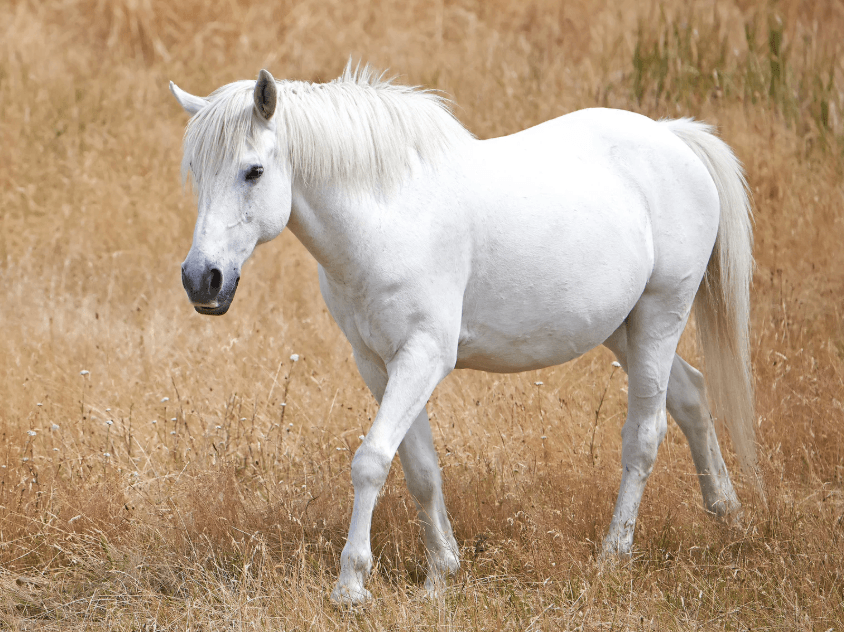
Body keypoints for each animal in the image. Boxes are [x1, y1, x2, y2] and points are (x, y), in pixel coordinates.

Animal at [170, 62, 757, 604]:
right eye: (196, 168)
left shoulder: (424, 356)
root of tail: (673, 138)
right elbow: (420, 468)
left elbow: (372, 461)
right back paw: (728, 516)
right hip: (624, 327)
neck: (388, 218)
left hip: (661, 314)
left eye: (253, 171)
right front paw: (440, 574)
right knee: (691, 395)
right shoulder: (377, 363)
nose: (202, 278)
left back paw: (614, 554)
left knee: (644, 434)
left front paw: (351, 585)